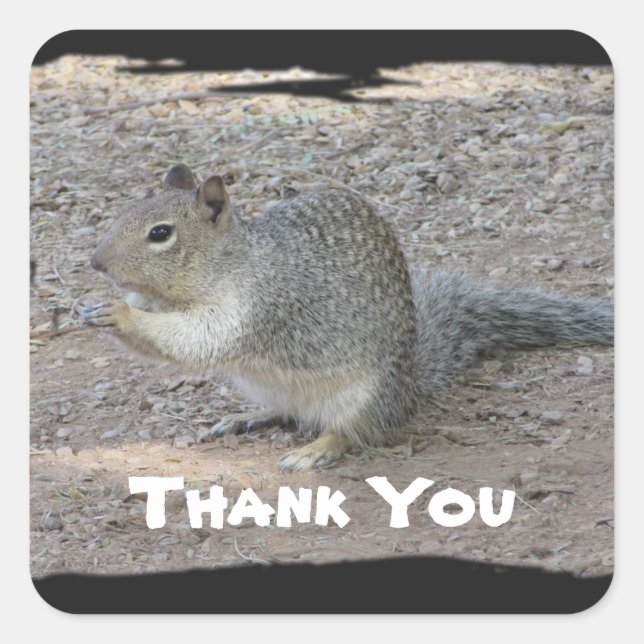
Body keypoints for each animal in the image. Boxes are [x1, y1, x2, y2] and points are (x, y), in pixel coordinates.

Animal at [78, 163, 614, 471]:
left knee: (351, 432)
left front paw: (121, 313)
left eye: (160, 233)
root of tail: (407, 390)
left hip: (363, 396)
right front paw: (91, 306)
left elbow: (201, 339)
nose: (96, 264)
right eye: (123, 212)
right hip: (271, 387)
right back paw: (249, 417)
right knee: (290, 412)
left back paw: (316, 449)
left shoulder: (257, 306)